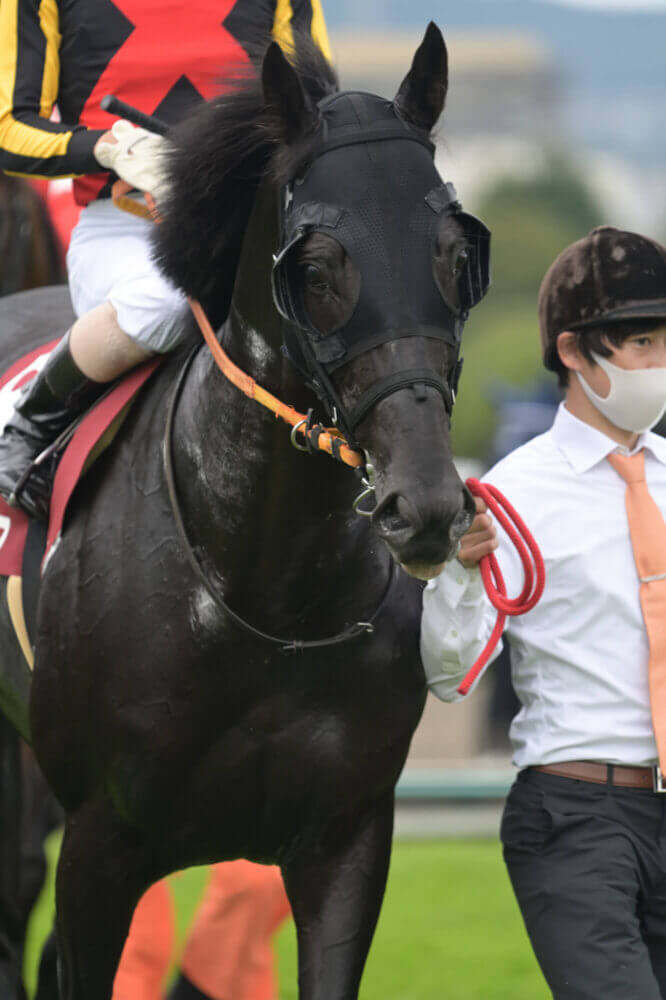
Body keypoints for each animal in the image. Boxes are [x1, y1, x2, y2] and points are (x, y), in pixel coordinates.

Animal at [0, 25, 482, 1000]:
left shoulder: (346, 841)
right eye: (316, 265)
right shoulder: (101, 847)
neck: (267, 593)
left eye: (458, 256)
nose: (424, 505)